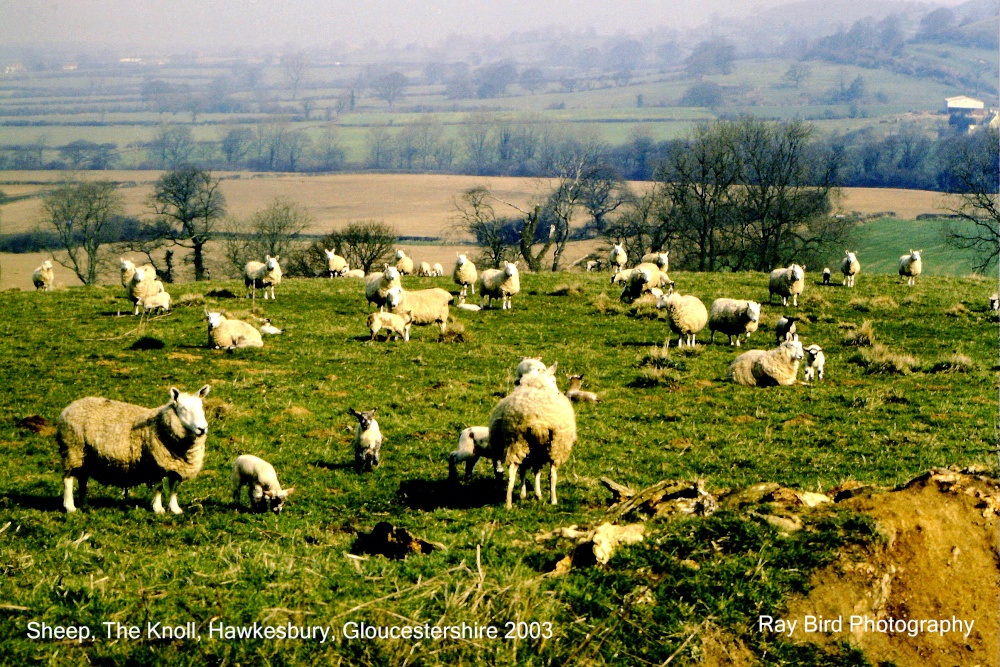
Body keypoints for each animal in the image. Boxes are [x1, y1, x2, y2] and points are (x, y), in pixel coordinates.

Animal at [57, 384, 211, 514]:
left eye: (201, 407)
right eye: (183, 408)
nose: (202, 428)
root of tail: (70, 407)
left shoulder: (176, 465)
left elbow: (174, 488)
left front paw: (175, 509)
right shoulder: (155, 463)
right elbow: (159, 487)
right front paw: (158, 509)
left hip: (86, 456)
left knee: (82, 479)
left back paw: (84, 504)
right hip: (73, 449)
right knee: (68, 479)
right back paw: (70, 507)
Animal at [486, 364, 577, 509]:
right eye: (554, 380)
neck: (535, 384)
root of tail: (537, 420)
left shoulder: (535, 452)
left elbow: (527, 470)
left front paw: (527, 494)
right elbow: (535, 471)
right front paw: (535, 494)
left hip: (517, 442)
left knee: (512, 472)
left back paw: (508, 503)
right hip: (555, 445)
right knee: (552, 474)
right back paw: (553, 500)